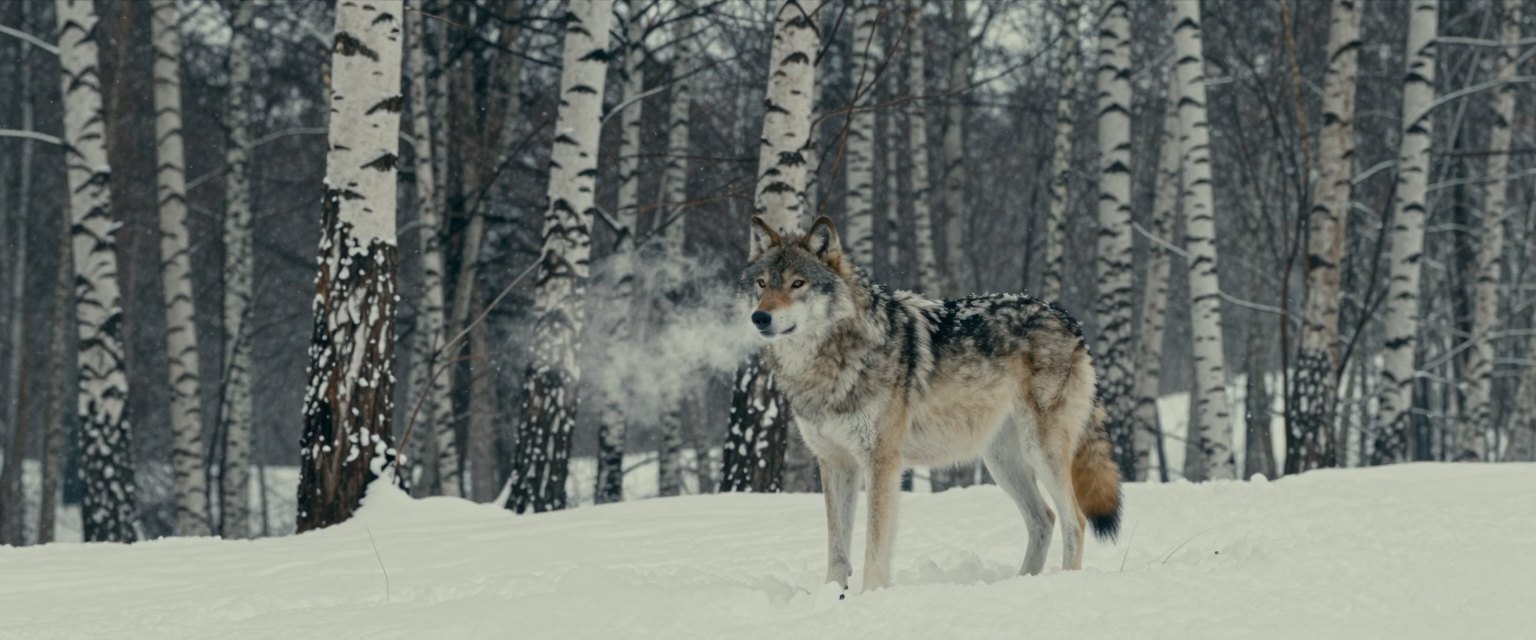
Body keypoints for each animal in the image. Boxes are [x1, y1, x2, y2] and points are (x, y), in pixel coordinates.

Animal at [738, 216, 1121, 593]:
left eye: (797, 283)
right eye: (762, 283)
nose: (760, 318)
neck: (828, 365)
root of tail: (1068, 319)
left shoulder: (882, 462)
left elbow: (874, 545)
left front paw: (870, 596)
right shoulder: (835, 462)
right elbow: (837, 546)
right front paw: (833, 595)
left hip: (1040, 452)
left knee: (1075, 520)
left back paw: (1063, 583)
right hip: (1002, 461)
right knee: (1044, 519)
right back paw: (1021, 582)